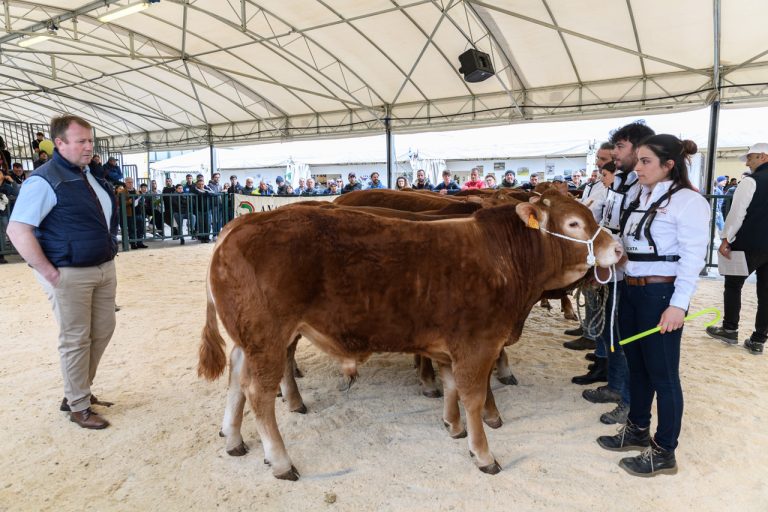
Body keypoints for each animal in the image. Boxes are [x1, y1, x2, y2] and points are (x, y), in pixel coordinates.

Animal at [200, 189, 624, 480]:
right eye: (573, 224)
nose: (619, 248)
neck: (504, 258)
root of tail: (237, 227)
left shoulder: (450, 345)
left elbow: (451, 386)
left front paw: (453, 426)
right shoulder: (478, 344)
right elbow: (473, 395)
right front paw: (483, 452)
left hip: (249, 338)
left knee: (237, 378)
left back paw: (233, 438)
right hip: (268, 337)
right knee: (258, 393)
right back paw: (281, 460)